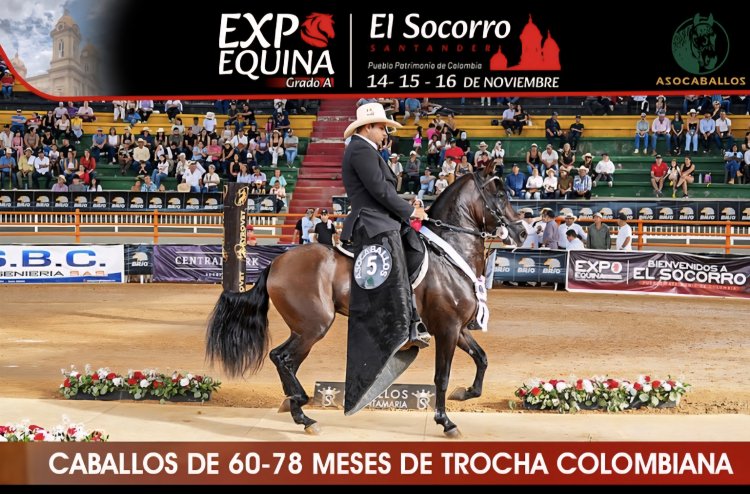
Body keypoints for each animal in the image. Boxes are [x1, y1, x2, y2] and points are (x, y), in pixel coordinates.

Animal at [206, 165, 525, 437]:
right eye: (500, 195)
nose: (522, 232)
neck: (448, 253)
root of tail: (275, 263)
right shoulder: (446, 329)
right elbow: (441, 377)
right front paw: (446, 422)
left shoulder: (457, 329)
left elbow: (482, 358)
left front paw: (466, 393)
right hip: (314, 326)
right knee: (282, 358)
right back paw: (302, 408)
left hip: (304, 329)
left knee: (285, 361)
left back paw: (297, 408)